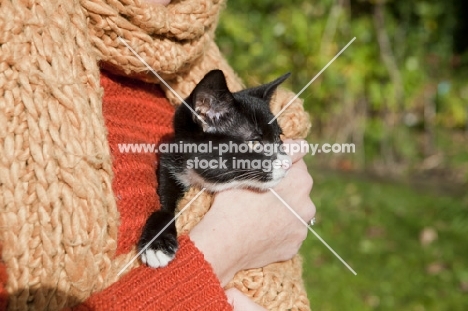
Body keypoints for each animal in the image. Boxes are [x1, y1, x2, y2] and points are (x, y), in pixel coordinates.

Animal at [138, 69, 292, 270]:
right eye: (255, 142)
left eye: (279, 137)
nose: (287, 163)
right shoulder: (169, 166)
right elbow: (165, 206)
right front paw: (157, 243)